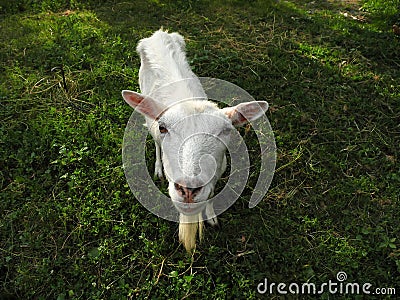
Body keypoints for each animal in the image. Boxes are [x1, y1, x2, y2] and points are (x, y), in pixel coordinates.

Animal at [120, 29, 268, 251]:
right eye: (163, 127)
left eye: (226, 131)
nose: (188, 190)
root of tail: (159, 33)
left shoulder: (219, 170)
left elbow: (212, 193)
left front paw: (212, 217)